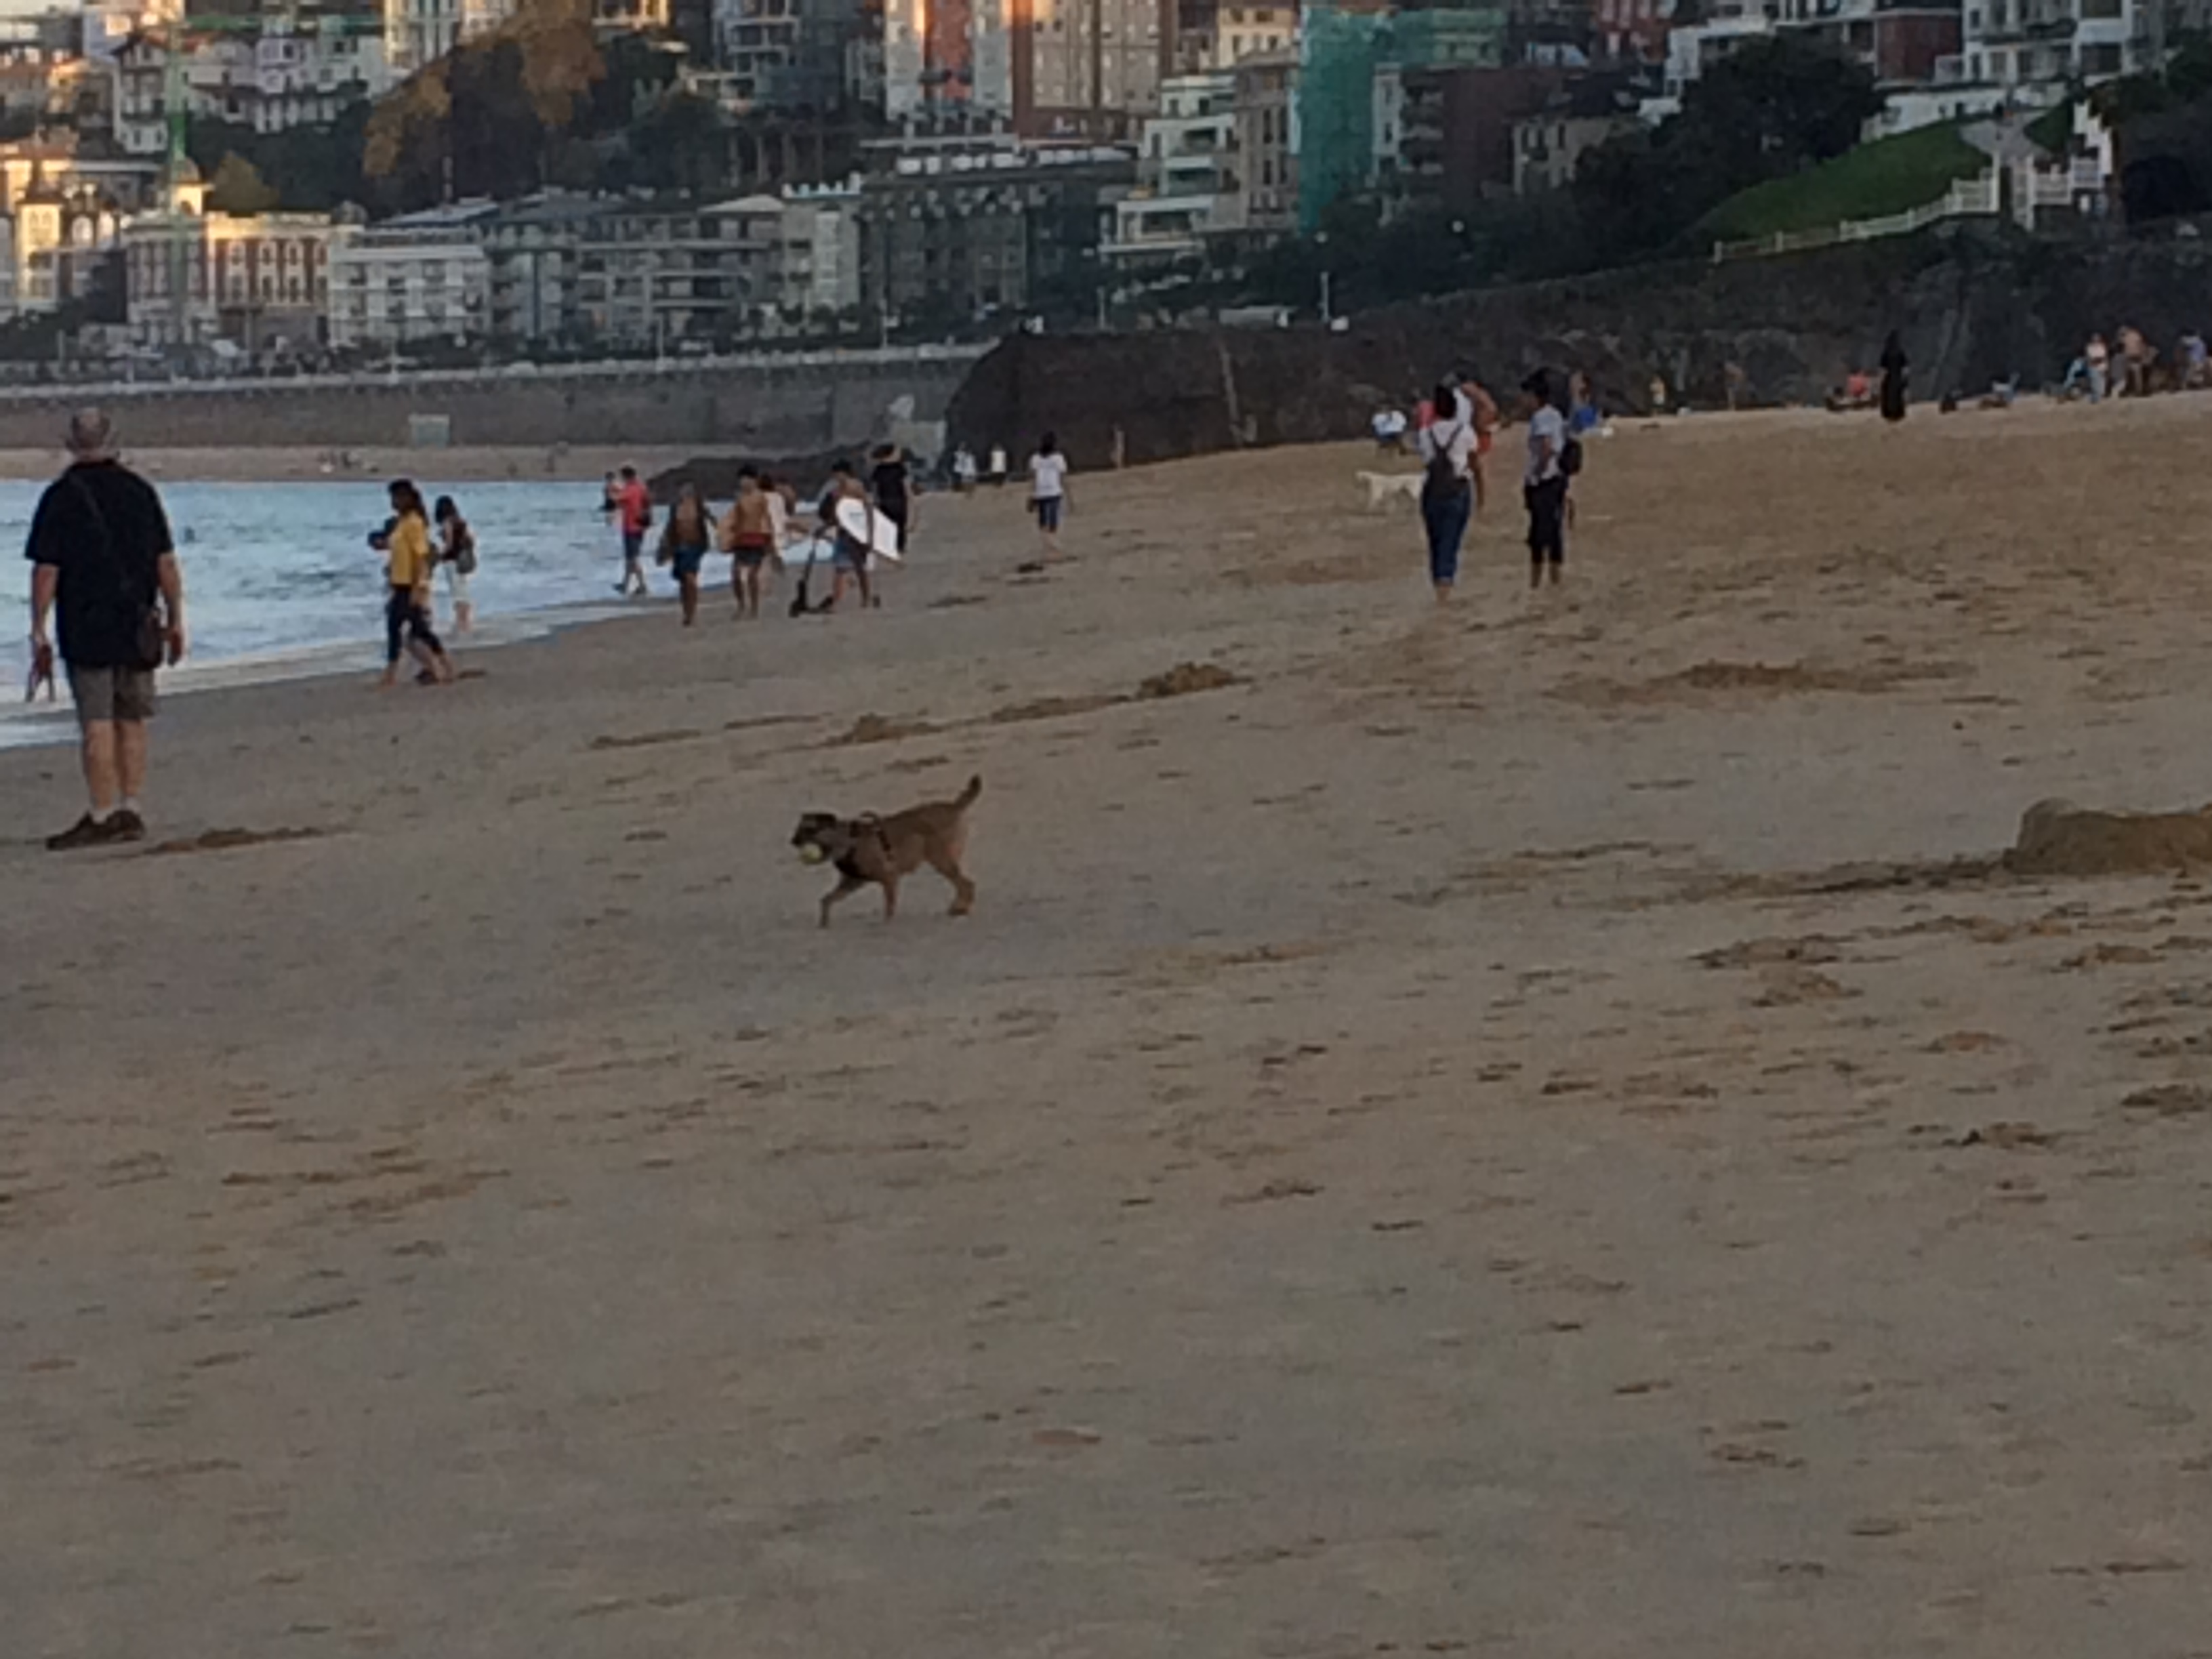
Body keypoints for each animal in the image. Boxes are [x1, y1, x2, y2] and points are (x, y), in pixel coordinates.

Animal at [792, 775, 981, 927]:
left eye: (810, 829)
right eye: (798, 829)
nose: (792, 841)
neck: (847, 840)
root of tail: (954, 806)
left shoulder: (889, 878)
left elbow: (889, 906)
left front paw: (887, 924)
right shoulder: (852, 882)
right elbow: (826, 899)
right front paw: (823, 923)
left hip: (940, 859)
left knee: (967, 884)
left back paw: (960, 908)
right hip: (945, 860)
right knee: (963, 884)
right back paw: (958, 907)